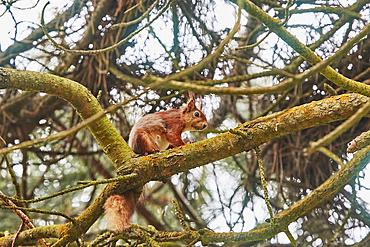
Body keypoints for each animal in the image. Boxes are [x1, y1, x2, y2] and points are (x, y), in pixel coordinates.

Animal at [104, 92, 208, 232]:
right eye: (197, 114)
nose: (205, 125)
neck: (181, 117)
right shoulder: (173, 125)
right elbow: (173, 137)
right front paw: (186, 143)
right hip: (141, 137)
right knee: (144, 150)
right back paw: (150, 151)